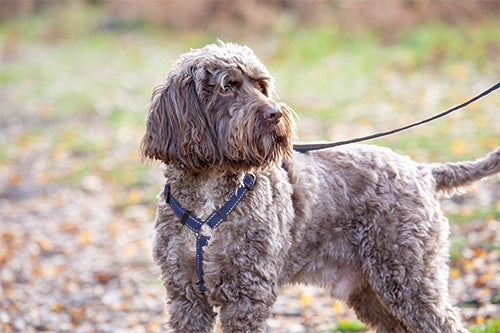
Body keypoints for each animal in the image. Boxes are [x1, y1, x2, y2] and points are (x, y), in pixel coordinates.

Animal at [141, 42, 500, 332]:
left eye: (261, 85)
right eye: (227, 86)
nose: (274, 114)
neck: (209, 194)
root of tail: (421, 171)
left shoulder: (248, 293)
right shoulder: (185, 295)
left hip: (409, 278)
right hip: (374, 291)